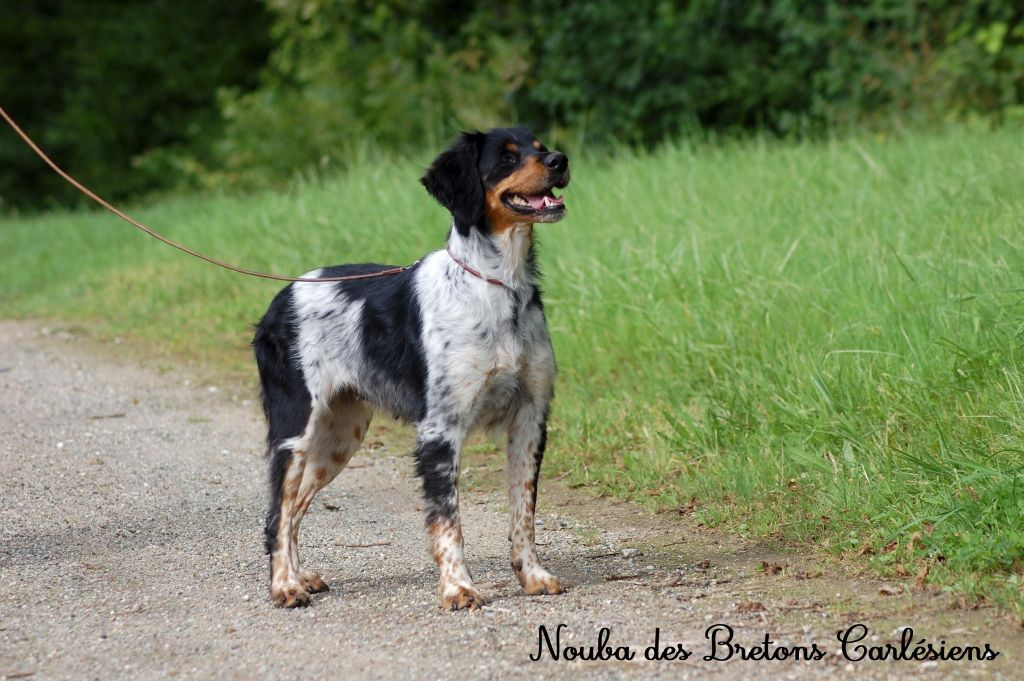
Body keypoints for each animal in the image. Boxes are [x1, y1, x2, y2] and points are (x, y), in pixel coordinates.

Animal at [248, 127, 569, 610]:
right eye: (508, 158)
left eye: (540, 145)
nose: (560, 160)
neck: (499, 288)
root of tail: (279, 299)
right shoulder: (440, 430)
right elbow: (448, 521)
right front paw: (458, 588)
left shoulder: (530, 420)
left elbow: (523, 514)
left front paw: (532, 575)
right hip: (295, 430)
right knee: (276, 515)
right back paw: (285, 585)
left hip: (338, 437)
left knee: (295, 508)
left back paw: (301, 577)